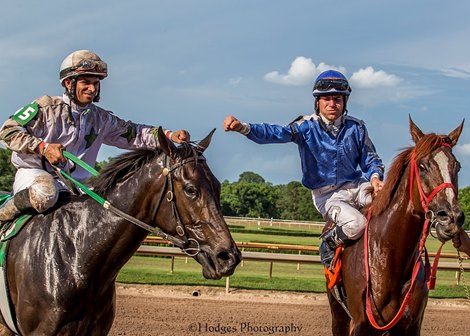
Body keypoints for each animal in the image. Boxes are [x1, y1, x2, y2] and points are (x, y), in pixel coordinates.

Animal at [328, 117, 464, 334]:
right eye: (422, 166)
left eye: (456, 166)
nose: (451, 218)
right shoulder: (359, 324)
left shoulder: (411, 325)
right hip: (338, 312)